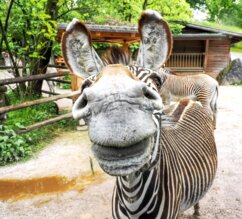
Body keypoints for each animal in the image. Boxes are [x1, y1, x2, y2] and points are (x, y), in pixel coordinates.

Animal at [61, 9, 218, 219]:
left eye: (156, 81)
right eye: (85, 85)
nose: (116, 105)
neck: (132, 196)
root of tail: (187, 101)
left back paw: (197, 211)